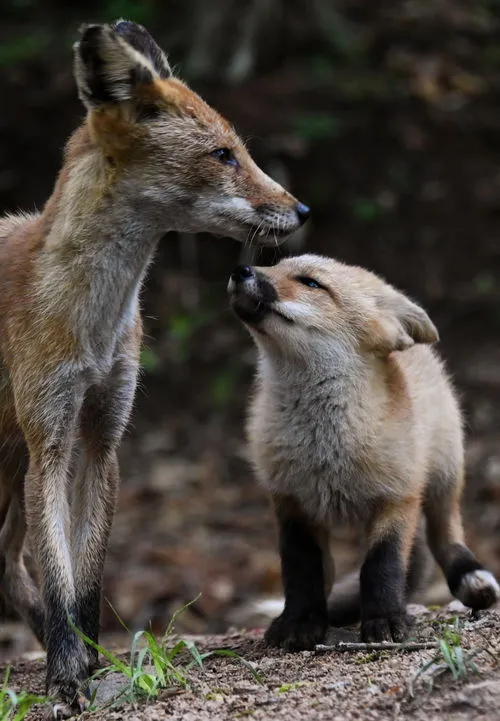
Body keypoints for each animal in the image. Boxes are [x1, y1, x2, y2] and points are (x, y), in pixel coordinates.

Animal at [0, 19, 308, 716]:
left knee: (2, 565)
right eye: (223, 155)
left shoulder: (103, 436)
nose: (302, 210)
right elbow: (58, 575)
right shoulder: (49, 441)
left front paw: (86, 661)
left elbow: (85, 582)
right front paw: (66, 678)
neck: (92, 326)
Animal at [229, 255, 498, 652]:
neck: (326, 450)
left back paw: (470, 577)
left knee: (445, 535)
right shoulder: (291, 503)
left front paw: (384, 620)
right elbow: (302, 570)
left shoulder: (398, 497)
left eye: (310, 283)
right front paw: (300, 622)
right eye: (274, 265)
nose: (241, 270)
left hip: (444, 476)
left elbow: (382, 566)